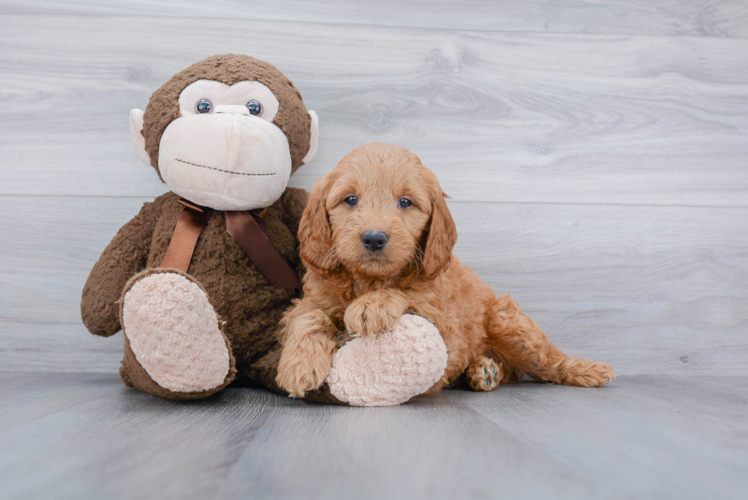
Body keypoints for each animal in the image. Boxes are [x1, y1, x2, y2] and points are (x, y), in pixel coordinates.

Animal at [274, 143, 612, 396]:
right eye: (350, 199)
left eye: (405, 202)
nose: (374, 238)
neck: (370, 280)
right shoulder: (314, 297)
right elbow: (309, 315)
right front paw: (300, 365)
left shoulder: (447, 327)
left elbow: (407, 293)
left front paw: (372, 305)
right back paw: (484, 370)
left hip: (508, 323)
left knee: (547, 360)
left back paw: (586, 369)